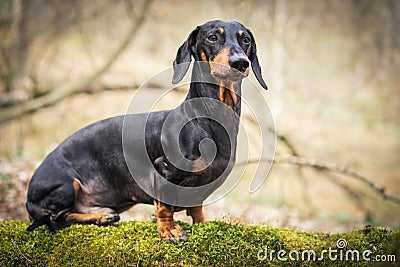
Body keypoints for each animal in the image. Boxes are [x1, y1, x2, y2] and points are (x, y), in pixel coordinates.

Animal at [25, 19, 268, 244]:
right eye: (212, 37)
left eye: (245, 39)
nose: (240, 63)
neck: (207, 119)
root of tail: (28, 199)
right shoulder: (164, 170)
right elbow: (164, 207)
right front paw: (169, 230)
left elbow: (197, 208)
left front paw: (202, 223)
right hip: (65, 185)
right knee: (55, 220)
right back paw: (101, 217)